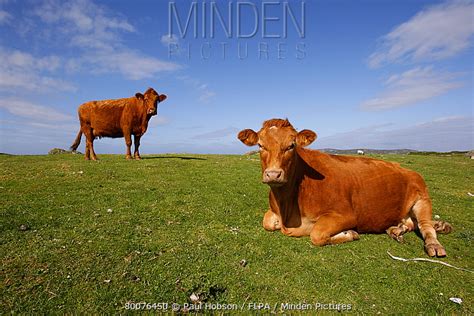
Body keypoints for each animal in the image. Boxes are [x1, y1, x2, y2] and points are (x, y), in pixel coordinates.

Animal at [237, 118, 452, 256]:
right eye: (260, 145)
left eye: (291, 145)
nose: (273, 174)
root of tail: (405, 168)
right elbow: (266, 222)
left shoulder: (346, 215)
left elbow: (317, 234)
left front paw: (349, 233)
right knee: (411, 223)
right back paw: (399, 230)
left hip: (422, 198)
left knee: (425, 226)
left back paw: (434, 242)